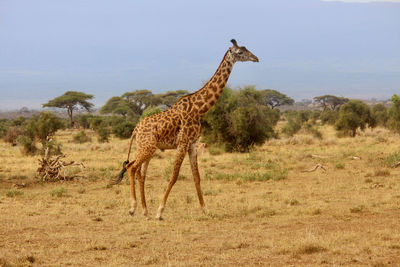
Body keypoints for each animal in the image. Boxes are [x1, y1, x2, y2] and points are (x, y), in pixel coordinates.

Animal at [110, 39, 260, 220]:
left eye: (246, 48)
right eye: (239, 52)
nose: (256, 58)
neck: (200, 109)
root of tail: (135, 130)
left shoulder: (193, 144)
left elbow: (197, 177)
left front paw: (206, 210)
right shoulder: (182, 143)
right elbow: (174, 176)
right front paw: (160, 211)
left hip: (148, 148)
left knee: (140, 173)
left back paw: (145, 211)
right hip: (148, 147)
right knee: (132, 167)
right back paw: (133, 208)